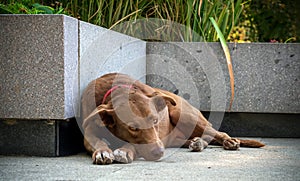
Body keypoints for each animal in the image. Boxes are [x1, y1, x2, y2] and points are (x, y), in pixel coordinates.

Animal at [82, 73, 264, 164]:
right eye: (132, 127)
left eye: (155, 120)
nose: (160, 152)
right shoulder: (89, 131)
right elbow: (96, 141)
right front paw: (103, 152)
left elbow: (133, 145)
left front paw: (125, 150)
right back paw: (197, 142)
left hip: (182, 114)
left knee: (216, 132)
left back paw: (229, 141)